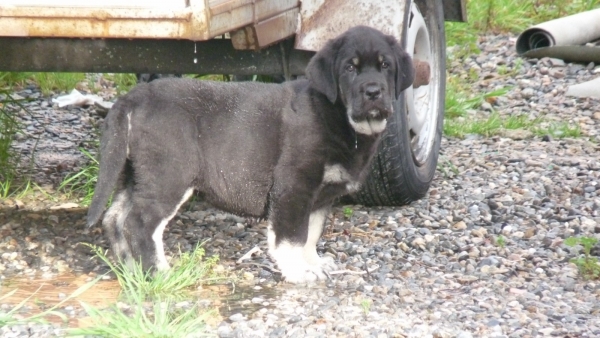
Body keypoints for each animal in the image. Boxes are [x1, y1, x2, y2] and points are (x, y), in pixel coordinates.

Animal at [88, 26, 412, 284]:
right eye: (349, 68)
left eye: (385, 65)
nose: (374, 92)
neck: (338, 116)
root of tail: (134, 97)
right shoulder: (293, 187)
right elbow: (291, 237)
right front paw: (298, 272)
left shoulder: (321, 197)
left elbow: (311, 234)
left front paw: (314, 264)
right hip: (170, 174)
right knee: (139, 223)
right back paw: (159, 273)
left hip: (135, 172)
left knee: (115, 218)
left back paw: (130, 270)